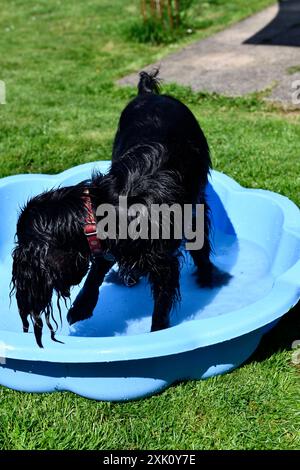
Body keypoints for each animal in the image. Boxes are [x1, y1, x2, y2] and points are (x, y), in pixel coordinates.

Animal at [10, 71, 229, 346]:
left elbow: (161, 305)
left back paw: (207, 276)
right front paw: (82, 305)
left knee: (200, 243)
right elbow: (98, 267)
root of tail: (149, 94)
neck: (110, 206)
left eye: (22, 243)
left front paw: (157, 335)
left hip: (195, 204)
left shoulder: (164, 262)